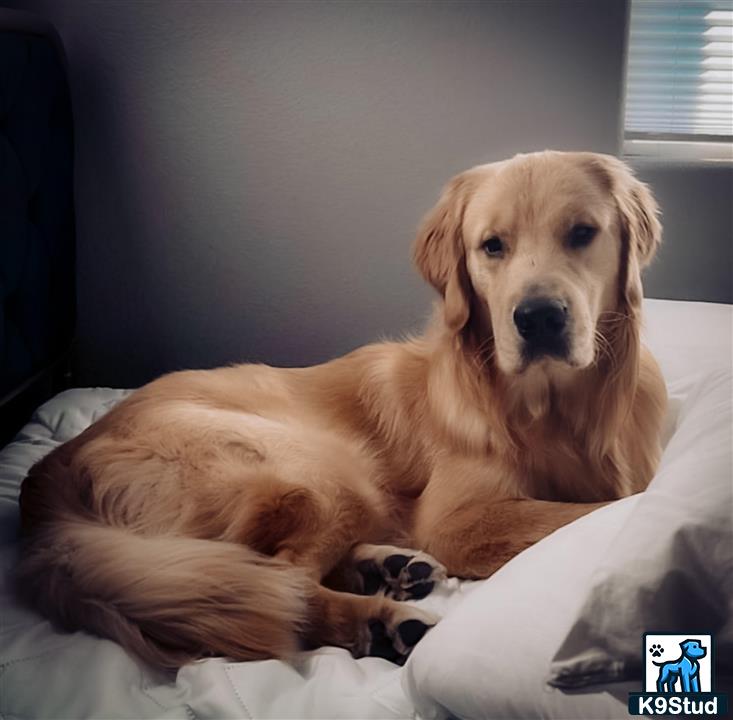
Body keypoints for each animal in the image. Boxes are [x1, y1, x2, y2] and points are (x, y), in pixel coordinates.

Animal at [18, 150, 668, 668]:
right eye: (492, 247)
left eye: (582, 233)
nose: (538, 318)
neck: (559, 411)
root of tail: (50, 467)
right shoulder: (457, 521)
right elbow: (590, 511)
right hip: (322, 472)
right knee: (283, 582)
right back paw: (383, 622)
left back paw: (390, 570)